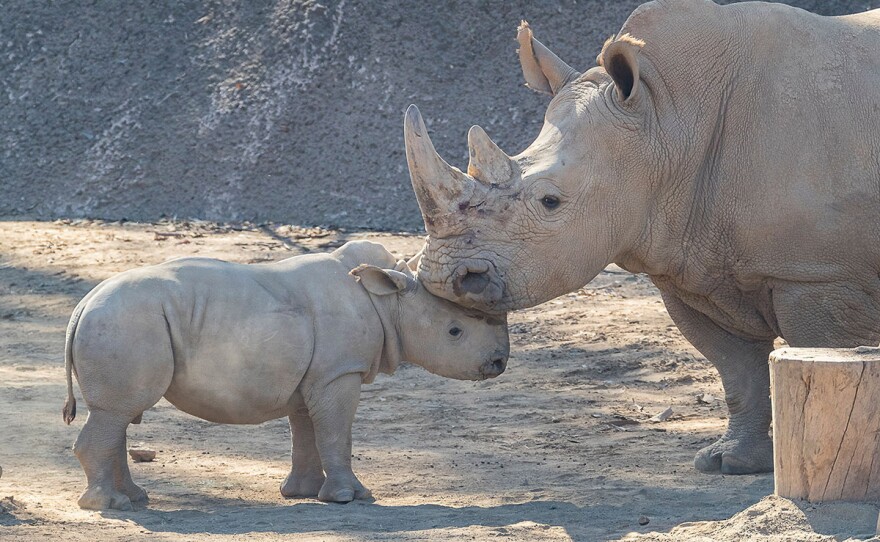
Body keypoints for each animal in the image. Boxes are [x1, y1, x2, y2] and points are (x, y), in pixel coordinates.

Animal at [63, 240, 508, 512]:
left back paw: (135, 498)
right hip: (125, 323)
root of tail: (81, 305)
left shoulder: (314, 377)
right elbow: (336, 433)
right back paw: (112, 506)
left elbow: (307, 432)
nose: (499, 364)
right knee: (115, 413)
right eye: (454, 332)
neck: (389, 302)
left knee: (117, 415)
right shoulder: (338, 373)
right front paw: (352, 497)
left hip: (122, 322)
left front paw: (304, 493)